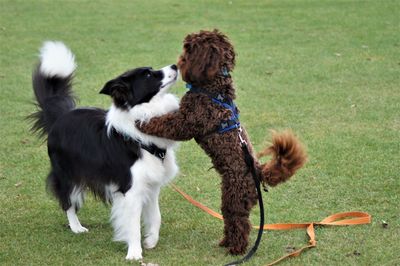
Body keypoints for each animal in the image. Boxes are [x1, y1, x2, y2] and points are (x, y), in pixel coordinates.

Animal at [30, 41, 180, 260]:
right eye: (148, 75)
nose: (176, 66)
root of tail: (61, 116)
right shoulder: (130, 189)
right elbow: (133, 224)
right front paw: (134, 253)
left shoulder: (150, 184)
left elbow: (156, 216)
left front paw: (151, 241)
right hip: (68, 173)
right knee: (67, 200)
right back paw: (76, 227)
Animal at [138, 28, 306, 254]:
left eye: (189, 49)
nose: (179, 61)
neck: (213, 85)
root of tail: (258, 171)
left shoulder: (189, 120)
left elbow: (166, 123)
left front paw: (143, 123)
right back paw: (225, 242)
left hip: (234, 196)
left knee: (239, 222)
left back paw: (235, 248)